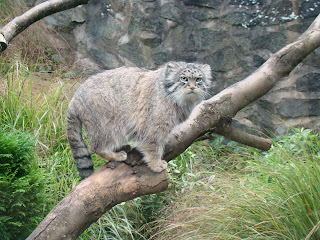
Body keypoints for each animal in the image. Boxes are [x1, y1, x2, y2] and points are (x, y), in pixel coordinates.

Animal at [67, 61, 212, 179]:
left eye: (198, 79)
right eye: (184, 78)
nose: (193, 87)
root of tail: (75, 97)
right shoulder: (153, 129)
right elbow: (153, 148)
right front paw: (156, 164)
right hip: (107, 125)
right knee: (96, 147)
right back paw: (116, 155)